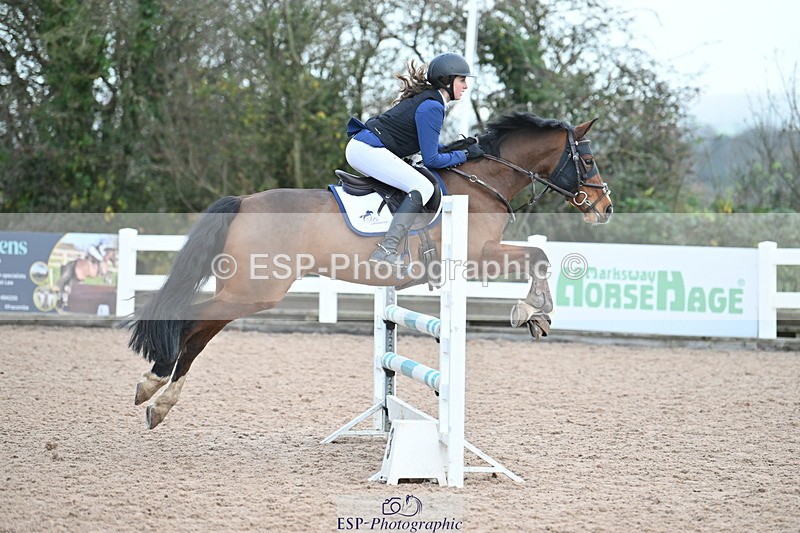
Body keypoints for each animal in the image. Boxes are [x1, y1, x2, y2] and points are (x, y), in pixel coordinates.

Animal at [128, 112, 613, 429]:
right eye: (588, 162)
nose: (605, 207)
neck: (483, 184)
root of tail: (244, 202)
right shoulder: (478, 255)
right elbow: (539, 256)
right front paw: (532, 312)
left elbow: (537, 257)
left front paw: (536, 317)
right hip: (255, 290)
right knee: (190, 323)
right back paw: (154, 384)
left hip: (244, 291)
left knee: (201, 330)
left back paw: (158, 399)